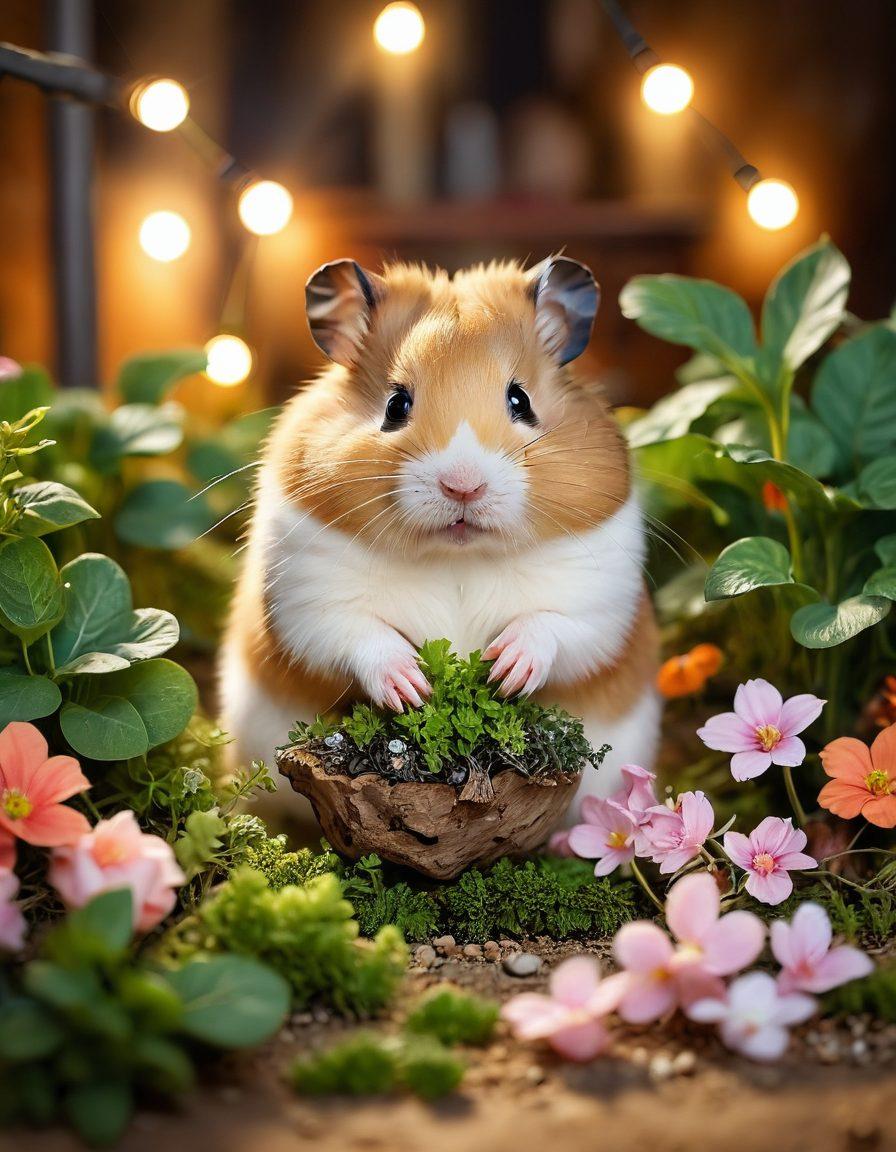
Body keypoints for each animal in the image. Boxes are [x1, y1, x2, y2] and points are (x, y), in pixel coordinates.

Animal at [218, 256, 661, 818]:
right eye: (395, 405)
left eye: (521, 400)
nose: (463, 485)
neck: (457, 558)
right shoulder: (304, 604)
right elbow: (357, 635)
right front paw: (414, 689)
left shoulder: (602, 606)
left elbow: (554, 627)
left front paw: (501, 670)